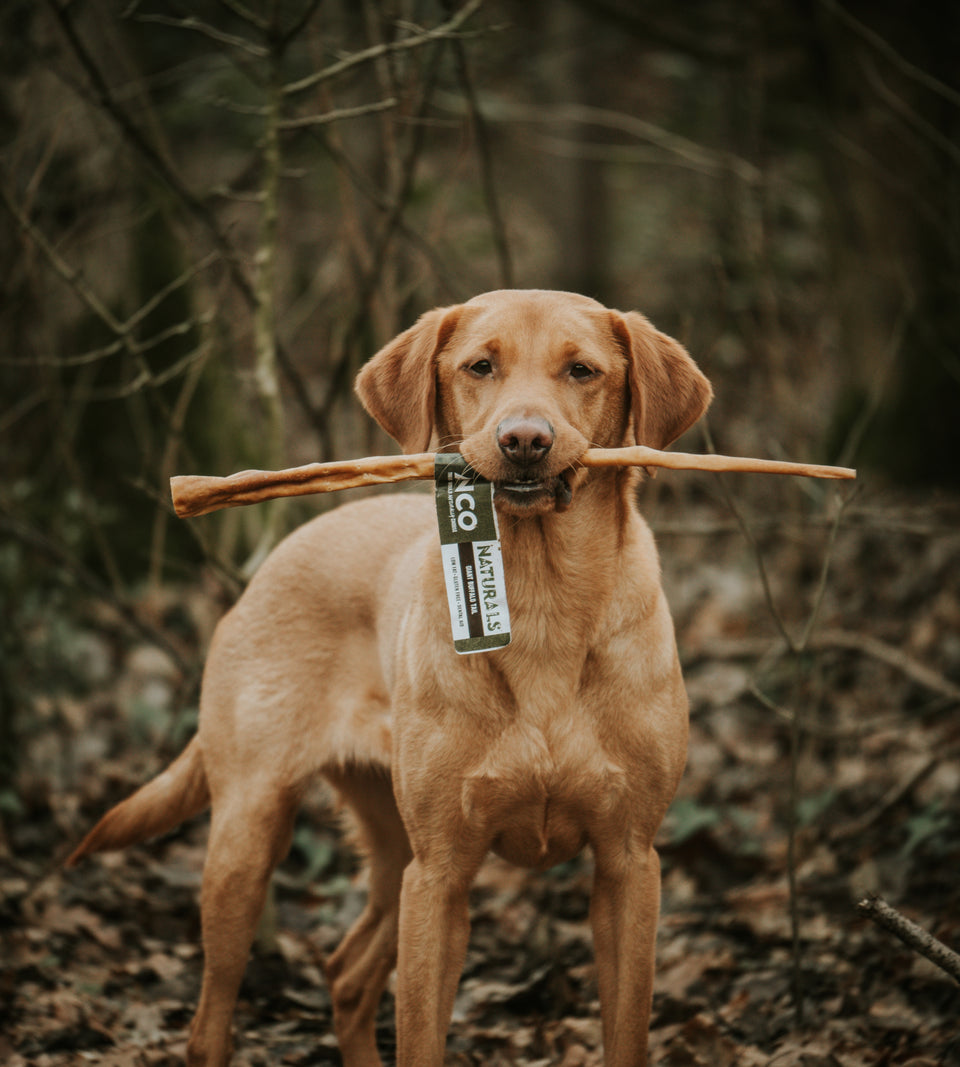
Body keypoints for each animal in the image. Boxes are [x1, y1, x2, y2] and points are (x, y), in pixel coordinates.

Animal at [67, 292, 712, 1067]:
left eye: (582, 370)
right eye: (480, 366)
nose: (525, 439)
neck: (538, 600)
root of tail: (271, 562)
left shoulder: (628, 864)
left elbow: (626, 1033)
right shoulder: (440, 874)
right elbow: (420, 1035)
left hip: (391, 844)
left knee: (346, 972)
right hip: (250, 837)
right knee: (210, 1021)